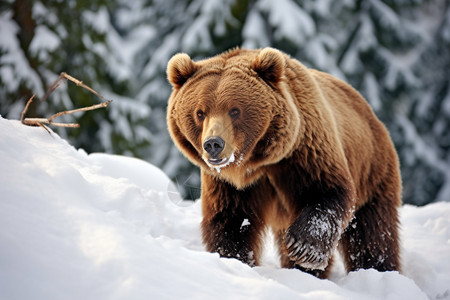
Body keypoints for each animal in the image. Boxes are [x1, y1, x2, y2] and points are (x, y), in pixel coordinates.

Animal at [165, 47, 400, 278]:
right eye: (200, 112)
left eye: (234, 110)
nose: (213, 144)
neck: (255, 163)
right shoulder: (227, 184)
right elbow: (230, 221)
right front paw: (235, 259)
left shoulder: (303, 153)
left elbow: (326, 192)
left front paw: (304, 248)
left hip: (372, 168)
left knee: (372, 234)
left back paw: (377, 269)